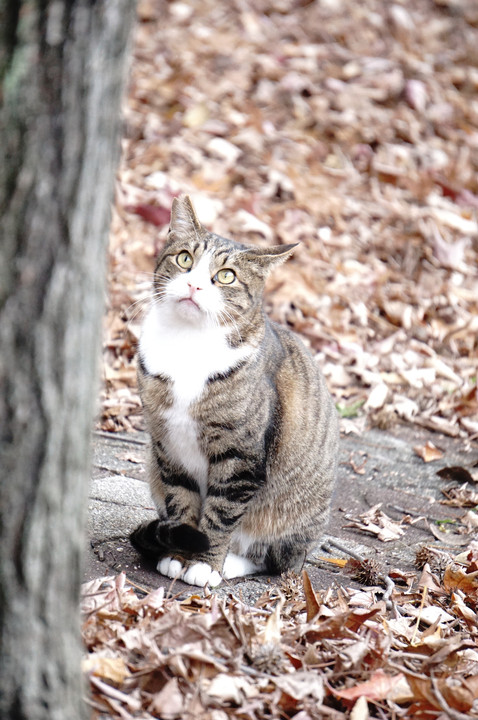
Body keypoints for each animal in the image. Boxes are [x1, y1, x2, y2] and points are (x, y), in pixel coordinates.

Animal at [130, 195, 340, 584]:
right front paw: (179, 554)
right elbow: (181, 502)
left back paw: (232, 562)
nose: (195, 286)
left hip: (292, 519)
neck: (187, 344)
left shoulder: (241, 457)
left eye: (226, 275)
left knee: (276, 560)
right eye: (185, 259)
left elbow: (220, 514)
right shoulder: (168, 446)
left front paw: (204, 564)